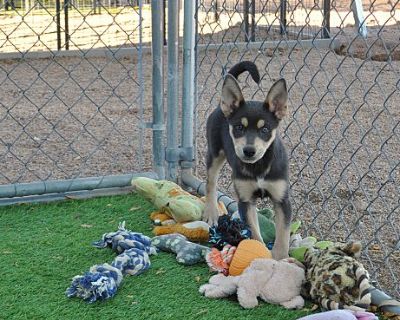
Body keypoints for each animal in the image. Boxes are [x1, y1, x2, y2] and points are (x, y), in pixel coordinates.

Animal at [203, 60, 290, 260]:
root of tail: (222, 107)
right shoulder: (245, 200)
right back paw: (211, 212)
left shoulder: (282, 199)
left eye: (265, 129)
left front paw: (280, 259)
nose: (249, 151)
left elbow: (283, 235)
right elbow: (255, 234)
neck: (259, 167)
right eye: (238, 128)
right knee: (211, 182)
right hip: (214, 153)